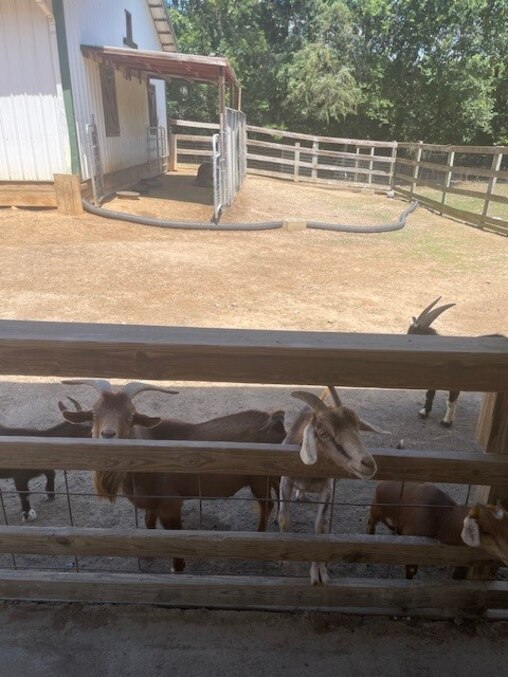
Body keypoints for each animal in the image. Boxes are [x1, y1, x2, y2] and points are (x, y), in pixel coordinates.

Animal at [61, 379, 286, 572]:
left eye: (131, 415)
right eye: (94, 412)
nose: (108, 435)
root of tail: (276, 422)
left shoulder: (170, 503)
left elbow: (175, 535)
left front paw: (177, 567)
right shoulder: (151, 503)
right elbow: (149, 524)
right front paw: (147, 556)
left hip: (259, 479)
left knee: (267, 504)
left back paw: (259, 537)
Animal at [278, 387, 386, 585]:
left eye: (358, 427)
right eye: (323, 434)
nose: (368, 464)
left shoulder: (327, 489)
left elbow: (320, 526)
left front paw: (319, 572)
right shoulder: (285, 480)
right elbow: (284, 518)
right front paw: (283, 558)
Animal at [368, 481, 508, 579]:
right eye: (486, 530)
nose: (506, 554)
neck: (443, 517)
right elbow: (411, 570)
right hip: (375, 508)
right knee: (371, 523)